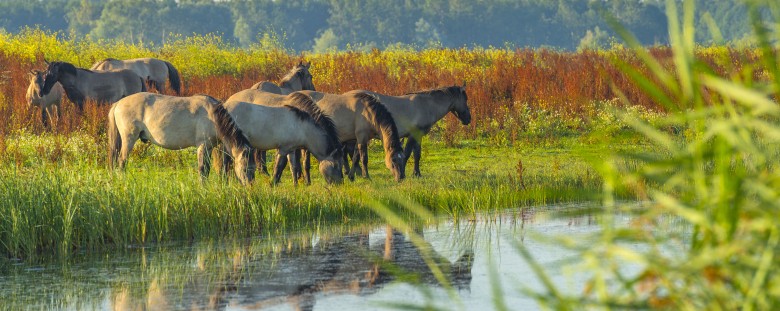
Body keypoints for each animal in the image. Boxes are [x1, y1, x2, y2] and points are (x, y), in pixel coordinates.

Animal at [106, 92, 251, 180]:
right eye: (245, 168)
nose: (249, 187)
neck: (213, 115)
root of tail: (118, 103)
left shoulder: (209, 147)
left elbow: (207, 169)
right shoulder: (202, 146)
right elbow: (202, 169)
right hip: (128, 139)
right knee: (122, 161)